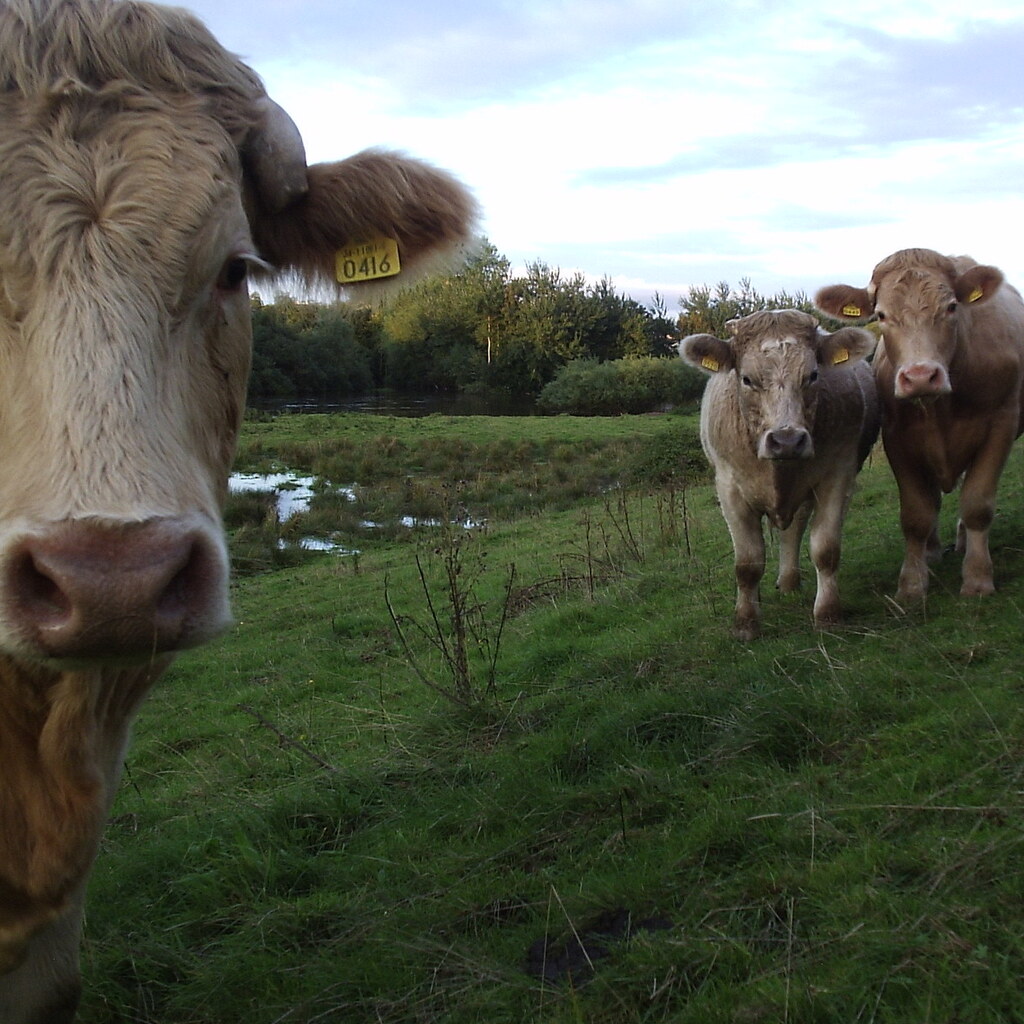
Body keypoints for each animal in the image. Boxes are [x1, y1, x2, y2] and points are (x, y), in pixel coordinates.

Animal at [680, 309, 879, 640]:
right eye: (747, 379)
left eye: (812, 375)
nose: (787, 440)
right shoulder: (729, 488)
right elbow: (748, 562)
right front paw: (746, 622)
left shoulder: (837, 475)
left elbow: (825, 549)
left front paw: (828, 613)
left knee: (793, 530)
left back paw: (788, 581)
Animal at [815, 248, 1024, 603]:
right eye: (881, 315)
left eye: (952, 307)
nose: (920, 376)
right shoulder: (898, 438)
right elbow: (916, 514)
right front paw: (912, 584)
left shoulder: (1001, 425)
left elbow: (977, 505)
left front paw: (977, 578)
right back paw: (934, 550)